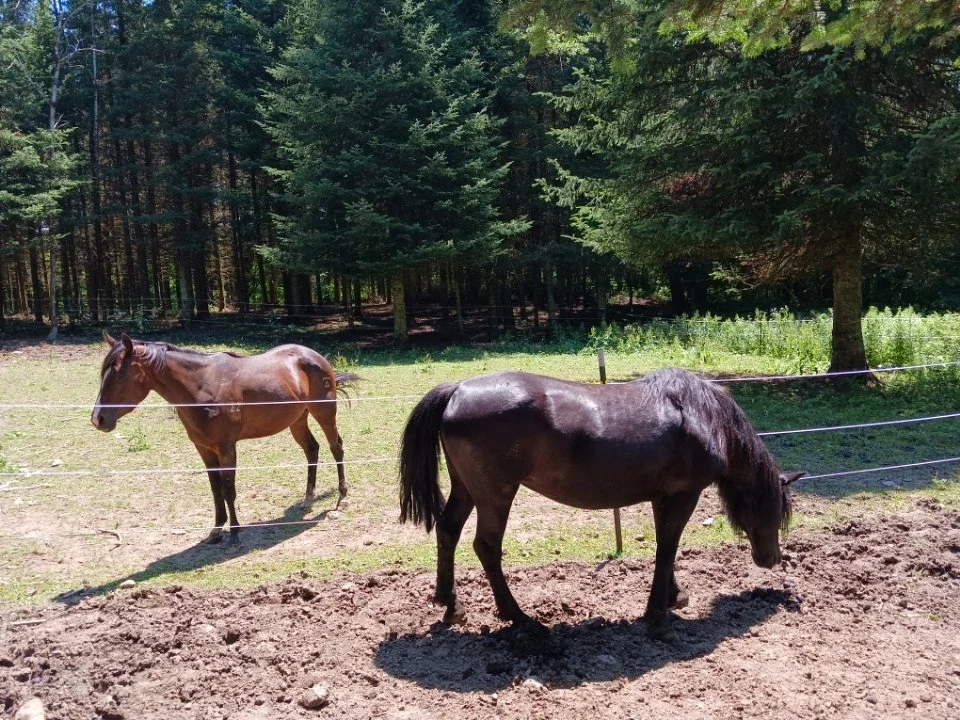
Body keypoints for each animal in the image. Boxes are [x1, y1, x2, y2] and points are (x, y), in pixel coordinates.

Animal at [91, 332, 358, 545]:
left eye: (118, 376)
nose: (98, 419)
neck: (201, 387)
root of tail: (314, 356)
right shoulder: (205, 449)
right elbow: (215, 489)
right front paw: (216, 531)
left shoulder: (226, 447)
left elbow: (229, 489)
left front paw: (235, 534)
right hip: (297, 420)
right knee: (312, 450)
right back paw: (308, 500)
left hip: (324, 412)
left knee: (336, 447)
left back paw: (342, 498)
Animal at [399, 367, 802, 640]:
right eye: (777, 511)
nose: (772, 559)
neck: (702, 417)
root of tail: (457, 390)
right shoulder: (683, 495)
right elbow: (668, 548)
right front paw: (657, 614)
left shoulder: (663, 498)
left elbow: (666, 547)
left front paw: (673, 596)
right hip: (496, 494)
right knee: (487, 547)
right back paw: (520, 617)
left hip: (467, 489)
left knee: (448, 531)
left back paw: (450, 605)